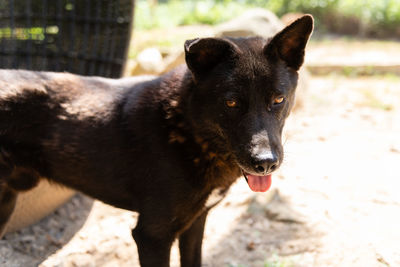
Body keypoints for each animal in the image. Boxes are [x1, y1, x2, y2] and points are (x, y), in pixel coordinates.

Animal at [0, 15, 312, 267]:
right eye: (231, 102)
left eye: (278, 99)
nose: (265, 163)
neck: (188, 129)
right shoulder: (152, 236)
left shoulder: (195, 224)